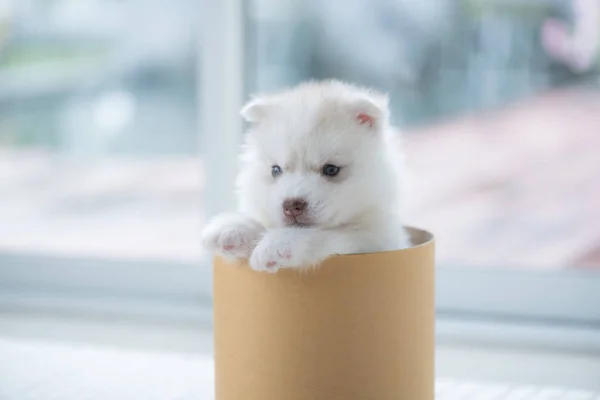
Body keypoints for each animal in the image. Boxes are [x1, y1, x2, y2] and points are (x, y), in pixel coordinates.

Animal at [200, 79, 408, 272]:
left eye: (331, 169)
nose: (291, 205)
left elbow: (331, 234)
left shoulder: (375, 240)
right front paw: (235, 227)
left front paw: (278, 242)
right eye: (276, 170)